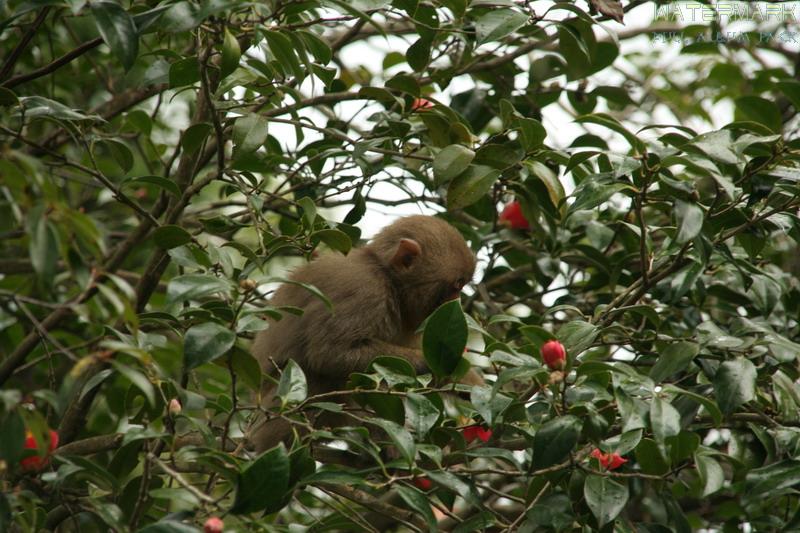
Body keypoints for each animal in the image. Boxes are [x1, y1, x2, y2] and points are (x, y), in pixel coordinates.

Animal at [250, 214, 484, 450]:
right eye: (457, 285)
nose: (457, 305)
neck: (388, 278)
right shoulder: (363, 290)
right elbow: (330, 354)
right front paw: (443, 369)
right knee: (320, 375)